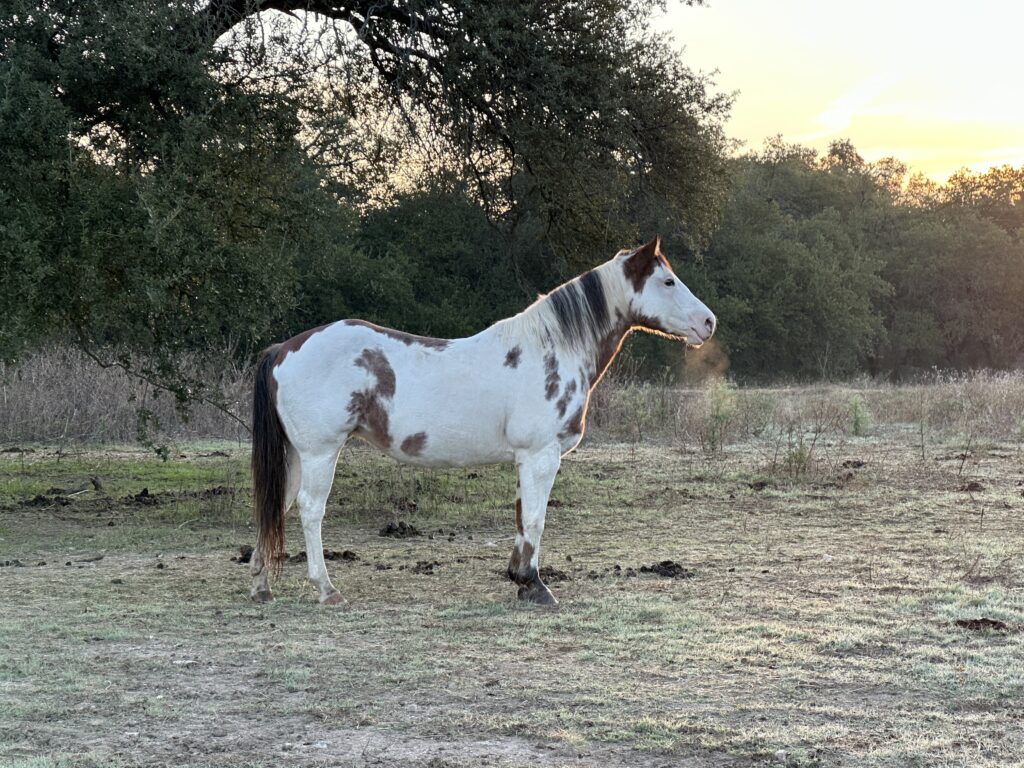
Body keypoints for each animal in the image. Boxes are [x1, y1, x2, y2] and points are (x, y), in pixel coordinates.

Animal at [250, 236, 716, 606]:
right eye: (668, 281)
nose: (708, 322)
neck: (550, 350)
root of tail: (284, 348)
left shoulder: (525, 459)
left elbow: (522, 517)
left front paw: (521, 580)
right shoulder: (541, 455)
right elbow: (536, 519)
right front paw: (536, 587)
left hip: (297, 456)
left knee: (275, 506)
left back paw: (261, 586)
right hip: (320, 453)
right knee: (309, 509)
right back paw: (327, 589)